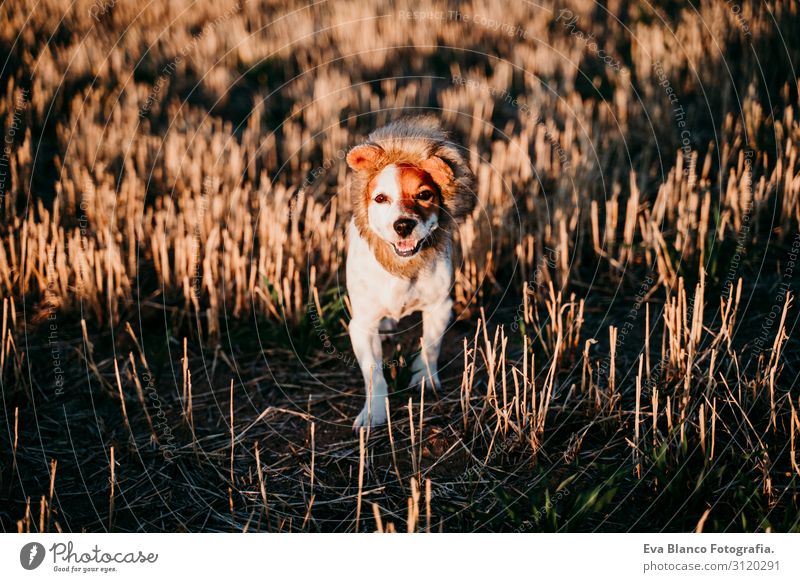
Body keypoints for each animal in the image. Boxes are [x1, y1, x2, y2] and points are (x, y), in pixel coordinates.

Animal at [344, 118, 476, 428]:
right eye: (380, 198)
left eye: (424, 195)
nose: (403, 225)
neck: (401, 267)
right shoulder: (361, 325)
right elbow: (374, 374)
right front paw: (374, 413)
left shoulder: (440, 307)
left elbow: (430, 347)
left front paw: (424, 379)